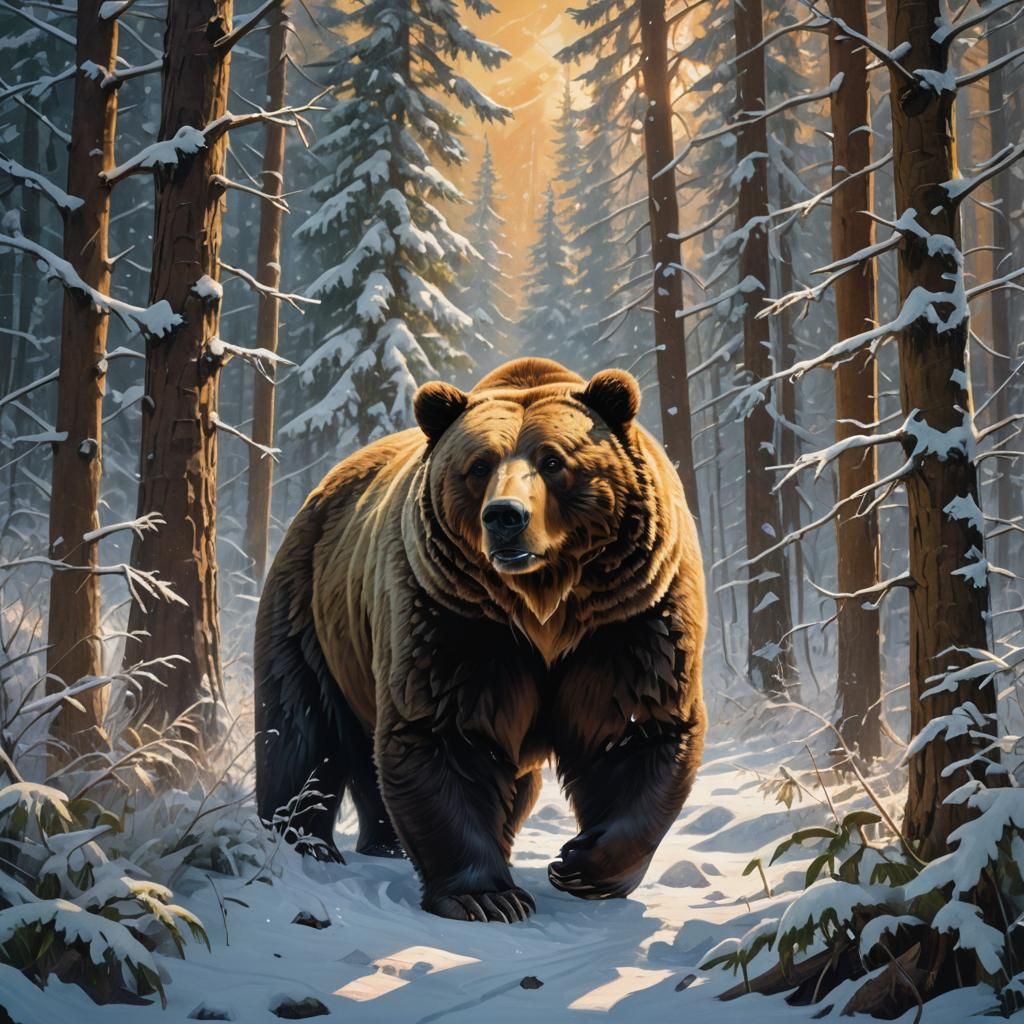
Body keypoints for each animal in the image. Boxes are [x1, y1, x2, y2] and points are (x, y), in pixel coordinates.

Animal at [254, 357, 706, 922]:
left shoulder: (629, 618)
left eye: (553, 461)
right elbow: (445, 735)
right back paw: (303, 843)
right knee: (302, 729)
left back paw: (390, 844)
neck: (545, 609)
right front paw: (489, 896)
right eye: (478, 466)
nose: (506, 515)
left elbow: (638, 727)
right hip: (312, 609)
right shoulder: (454, 619)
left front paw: (581, 864)